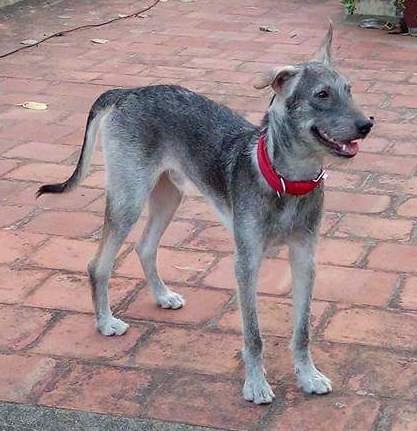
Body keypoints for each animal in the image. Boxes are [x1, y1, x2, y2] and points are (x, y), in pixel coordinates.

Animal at [37, 24, 372, 404]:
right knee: (98, 265)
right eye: (322, 94)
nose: (367, 124)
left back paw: (162, 296)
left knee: (145, 247)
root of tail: (128, 92)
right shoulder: (246, 263)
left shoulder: (304, 258)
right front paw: (256, 384)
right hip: (128, 199)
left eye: (349, 90)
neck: (288, 181)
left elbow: (302, 331)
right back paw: (106, 322)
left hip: (169, 196)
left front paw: (308, 376)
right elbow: (253, 335)